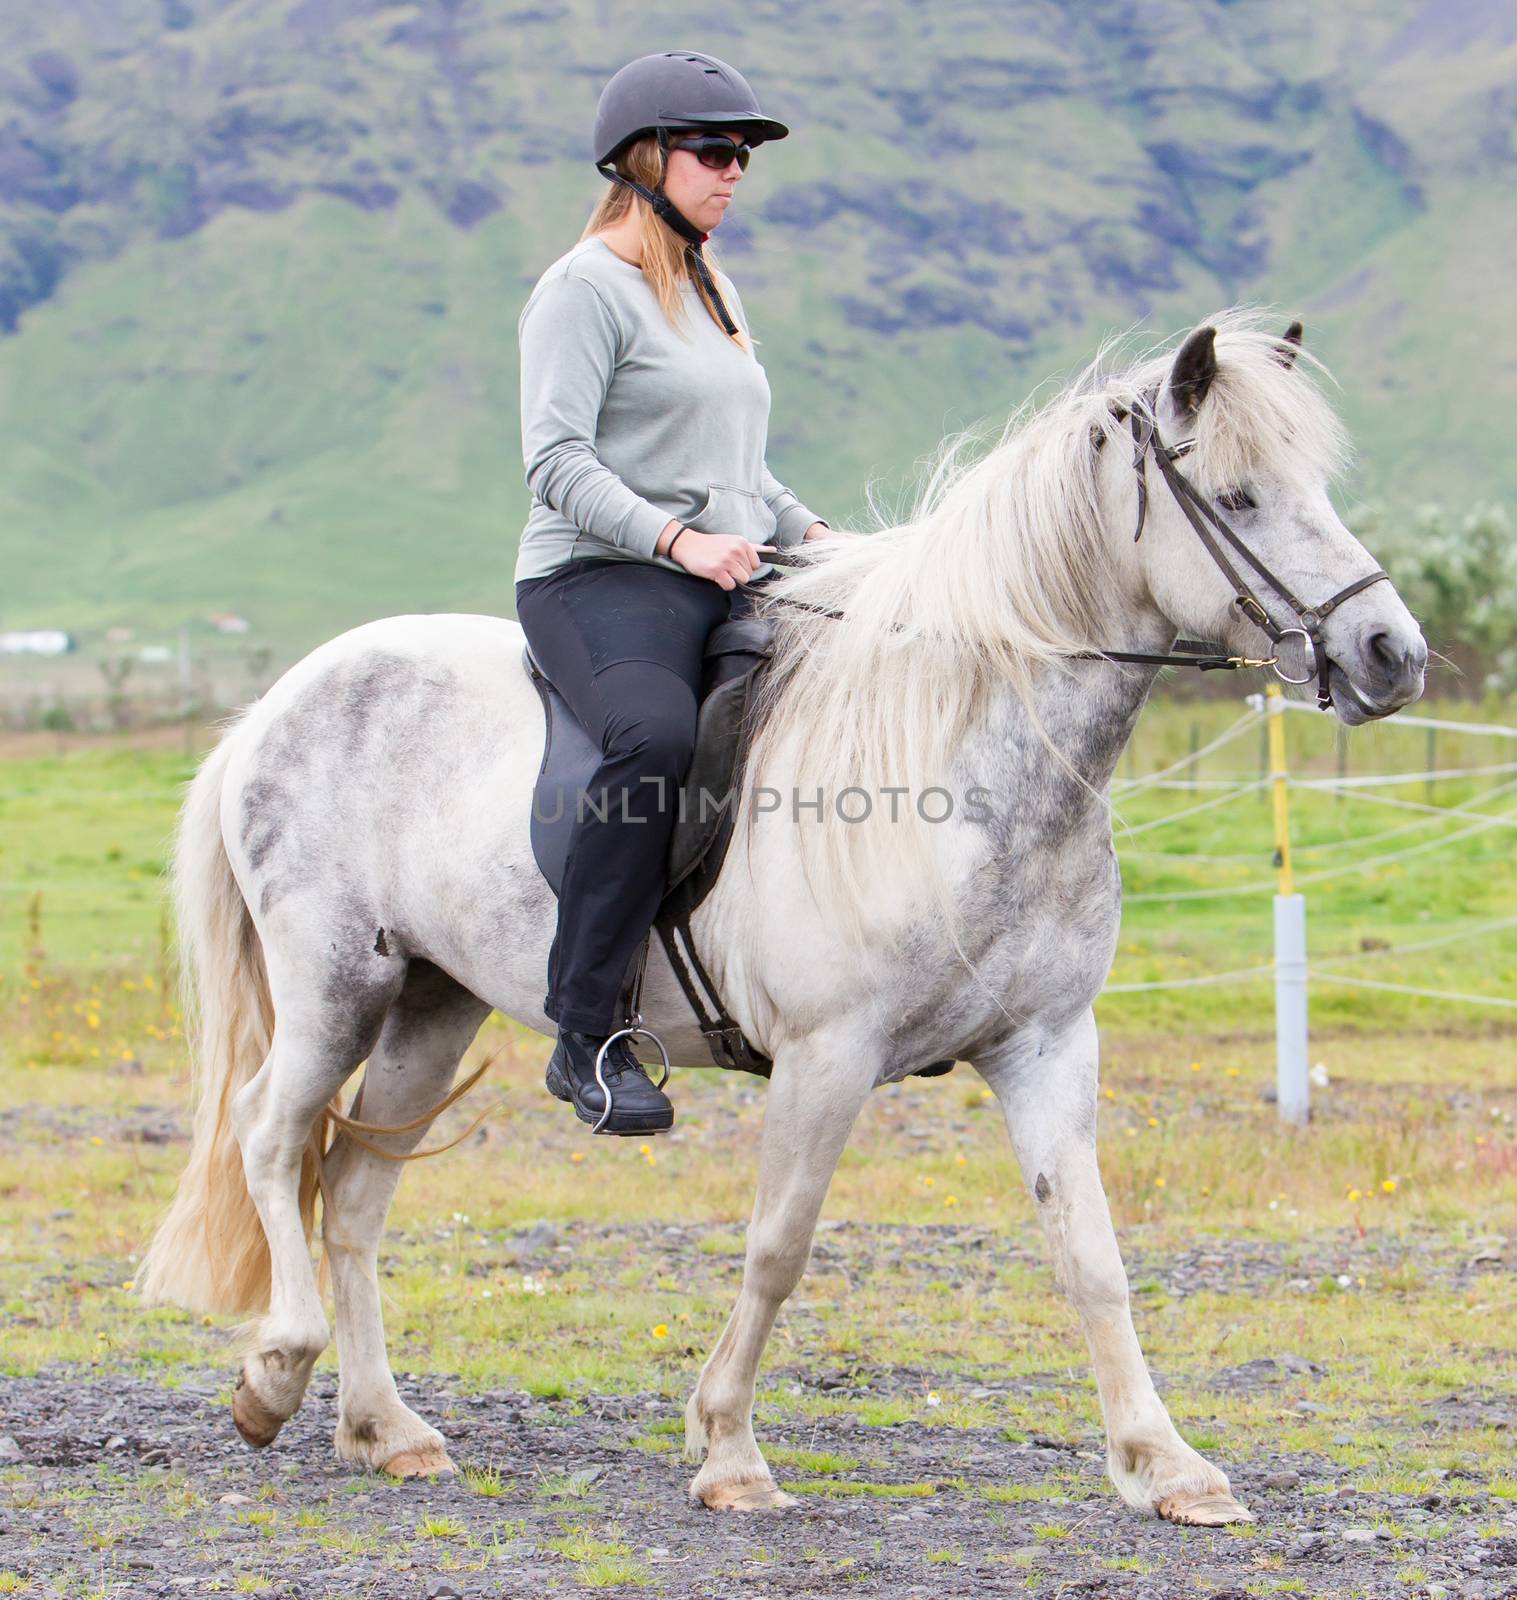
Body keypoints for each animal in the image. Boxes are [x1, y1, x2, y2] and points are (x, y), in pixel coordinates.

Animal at [136, 308, 1427, 1523]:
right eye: (1237, 495)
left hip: (432, 1001)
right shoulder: (826, 1054)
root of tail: (273, 704)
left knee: (356, 1191)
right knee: (269, 1137)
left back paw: (384, 1429)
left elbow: (1091, 1256)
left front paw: (1165, 1466)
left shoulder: (1046, 1046)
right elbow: (777, 1246)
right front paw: (728, 1452)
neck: (962, 756)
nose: (1390, 653)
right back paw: (275, 1372)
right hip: (334, 984)